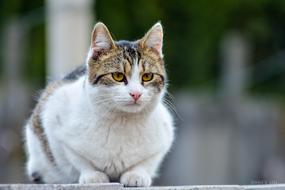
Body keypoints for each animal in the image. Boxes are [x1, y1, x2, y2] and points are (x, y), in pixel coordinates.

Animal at [24, 21, 174, 186]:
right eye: (118, 76)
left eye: (147, 76)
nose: (136, 94)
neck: (122, 121)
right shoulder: (54, 117)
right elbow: (77, 159)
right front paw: (93, 176)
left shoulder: (165, 134)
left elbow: (147, 162)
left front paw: (136, 174)